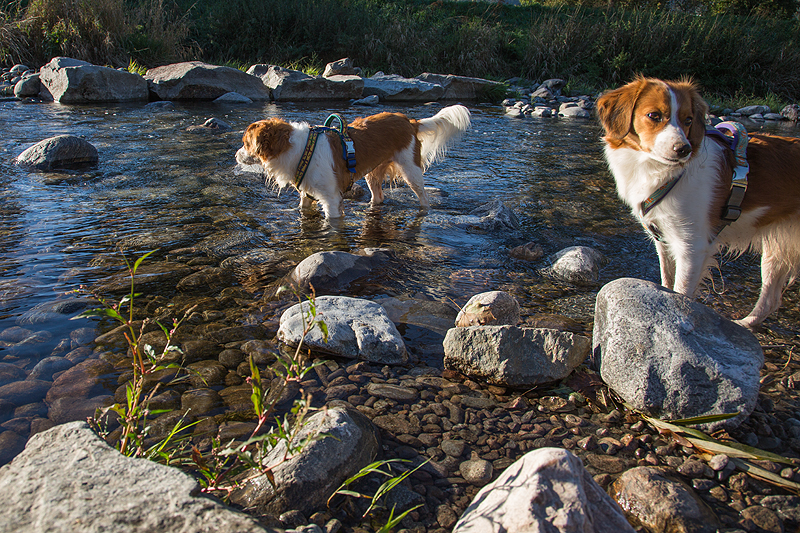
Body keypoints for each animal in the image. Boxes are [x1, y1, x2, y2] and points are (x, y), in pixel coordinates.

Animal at [238, 105, 472, 217]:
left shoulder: (331, 199)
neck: (302, 149)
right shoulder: (307, 195)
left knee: (423, 196)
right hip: (372, 173)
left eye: (245, 143)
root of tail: (409, 121)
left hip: (410, 171)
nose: (235, 155)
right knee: (378, 196)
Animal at [596, 76, 800, 326]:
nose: (683, 149)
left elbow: (681, 292)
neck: (662, 172)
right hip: (775, 249)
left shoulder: (692, 247)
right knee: (770, 299)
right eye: (654, 115)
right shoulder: (664, 240)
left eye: (688, 120)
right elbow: (667, 284)